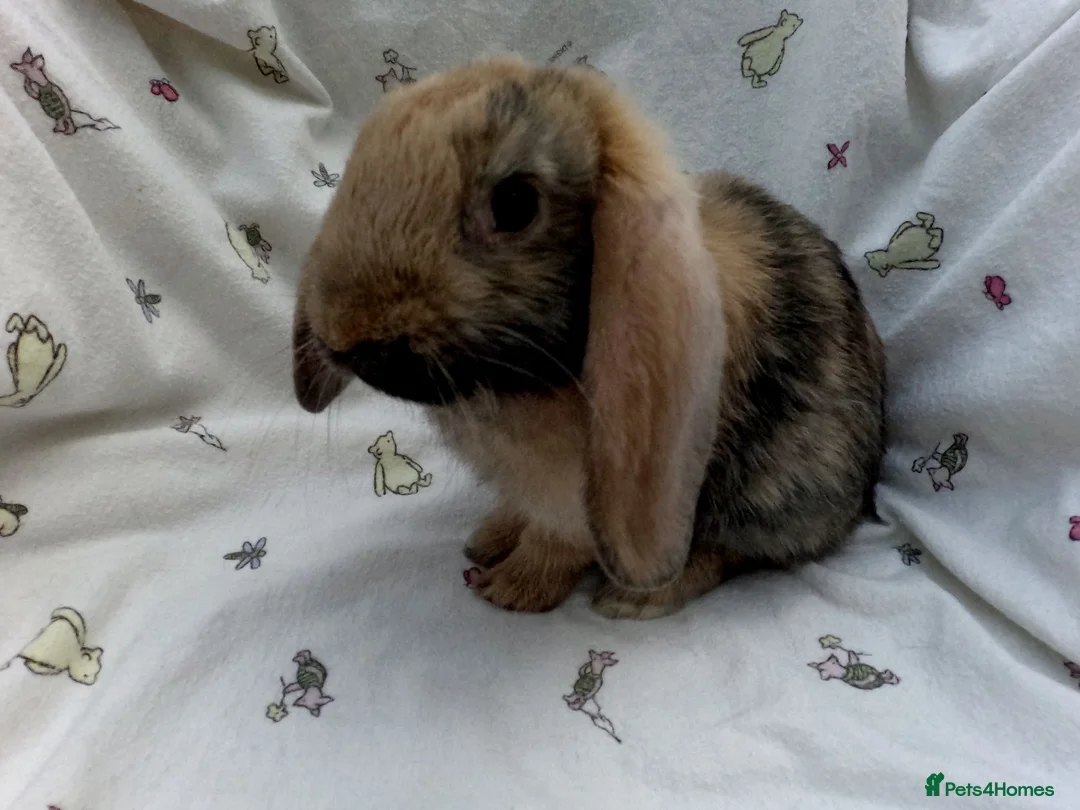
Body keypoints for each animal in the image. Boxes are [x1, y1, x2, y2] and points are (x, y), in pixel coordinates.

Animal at [291, 55, 886, 619]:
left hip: (778, 493)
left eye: (515, 204)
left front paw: (512, 592)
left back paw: (635, 600)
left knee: (738, 551)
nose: (347, 336)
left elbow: (556, 545)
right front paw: (490, 543)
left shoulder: (575, 499)